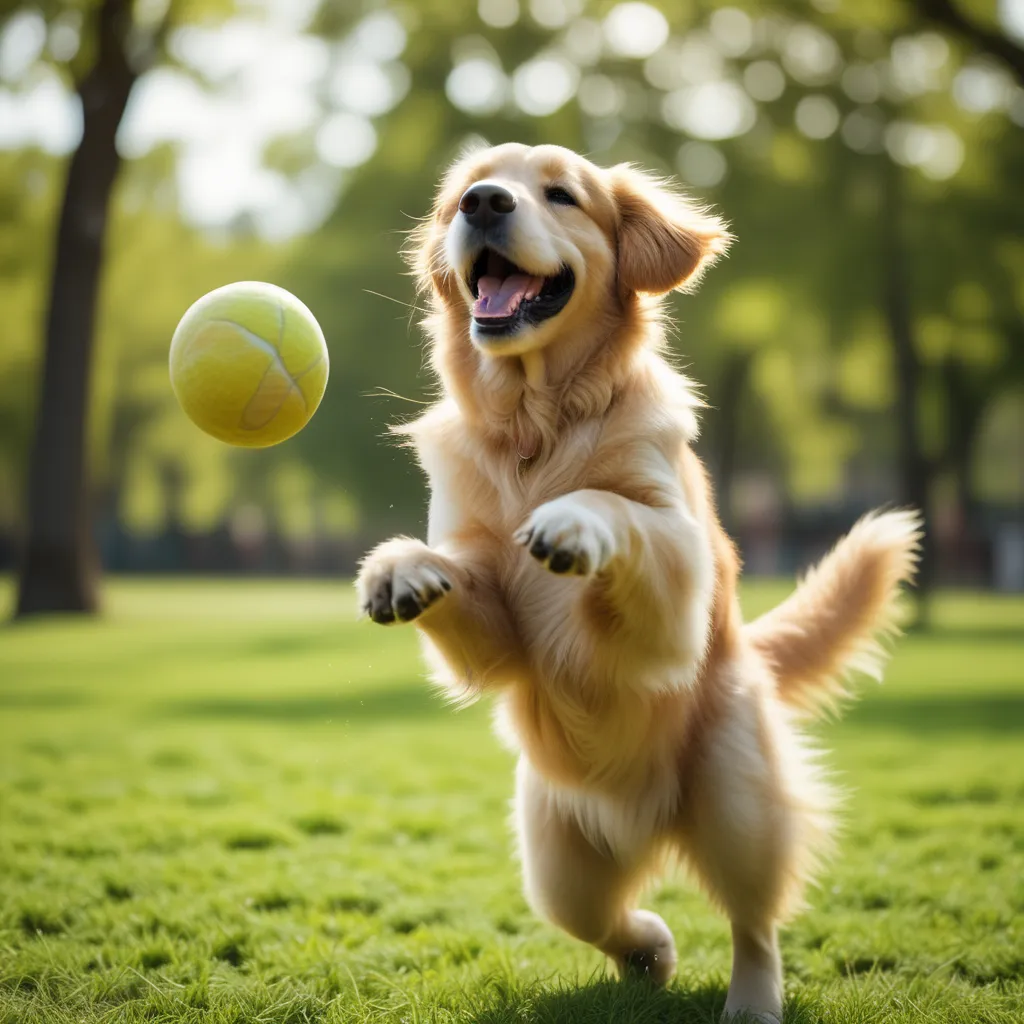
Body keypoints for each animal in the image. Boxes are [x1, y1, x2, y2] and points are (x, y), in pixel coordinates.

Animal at [354, 144, 921, 1024]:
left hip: (735, 803)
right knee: (605, 917)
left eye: (561, 194)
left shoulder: (677, 582)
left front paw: (573, 521)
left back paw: (751, 999)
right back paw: (649, 950)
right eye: (466, 193)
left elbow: (621, 515)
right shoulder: (497, 628)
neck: (537, 423)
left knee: (755, 921)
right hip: (555, 854)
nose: (484, 204)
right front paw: (400, 566)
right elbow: (457, 575)